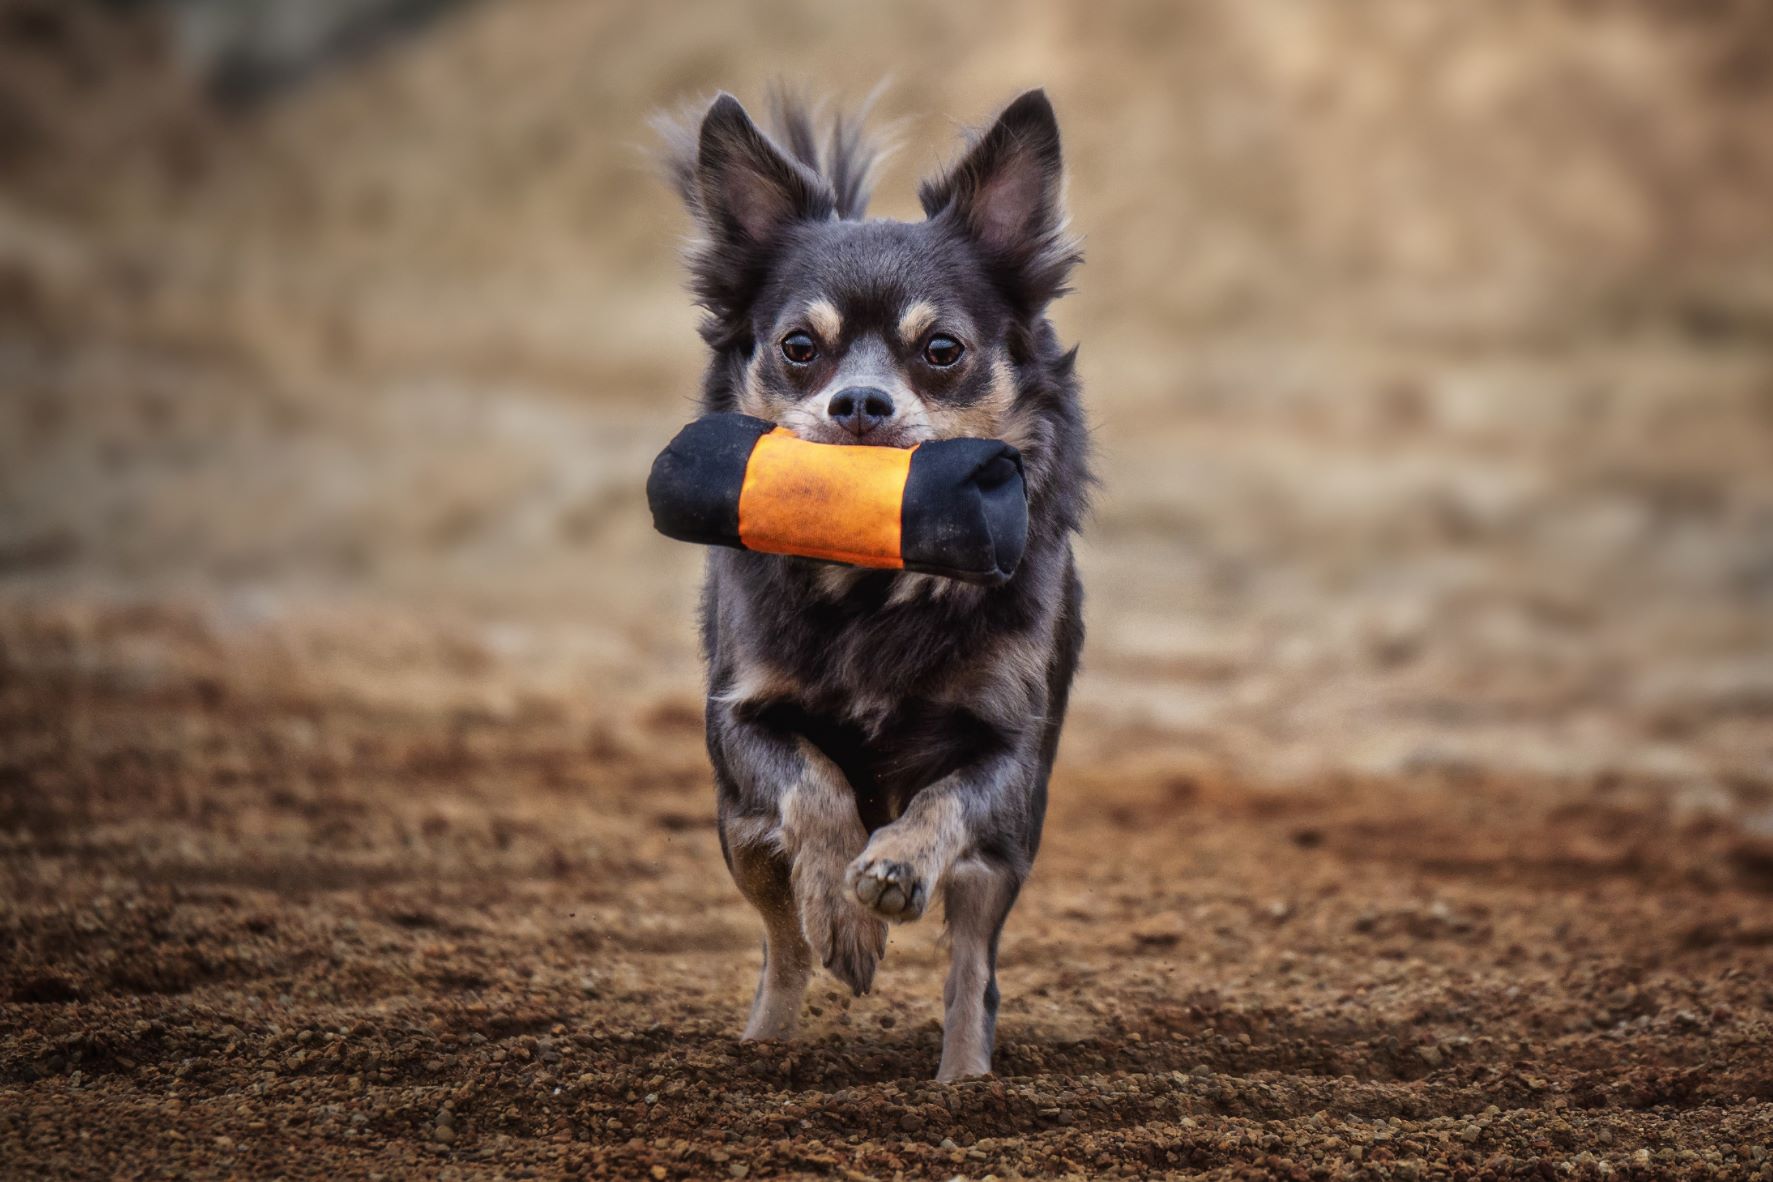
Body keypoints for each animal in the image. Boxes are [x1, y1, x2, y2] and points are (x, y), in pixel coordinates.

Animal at [659, 87, 1085, 1077]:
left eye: (941, 350)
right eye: (797, 347)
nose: (858, 402)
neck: (871, 587)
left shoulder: (1009, 754)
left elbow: (942, 800)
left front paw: (891, 868)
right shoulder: (740, 721)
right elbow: (815, 788)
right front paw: (848, 918)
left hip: (1004, 859)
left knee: (972, 970)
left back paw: (964, 1081)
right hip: (737, 833)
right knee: (781, 941)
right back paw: (767, 1037)